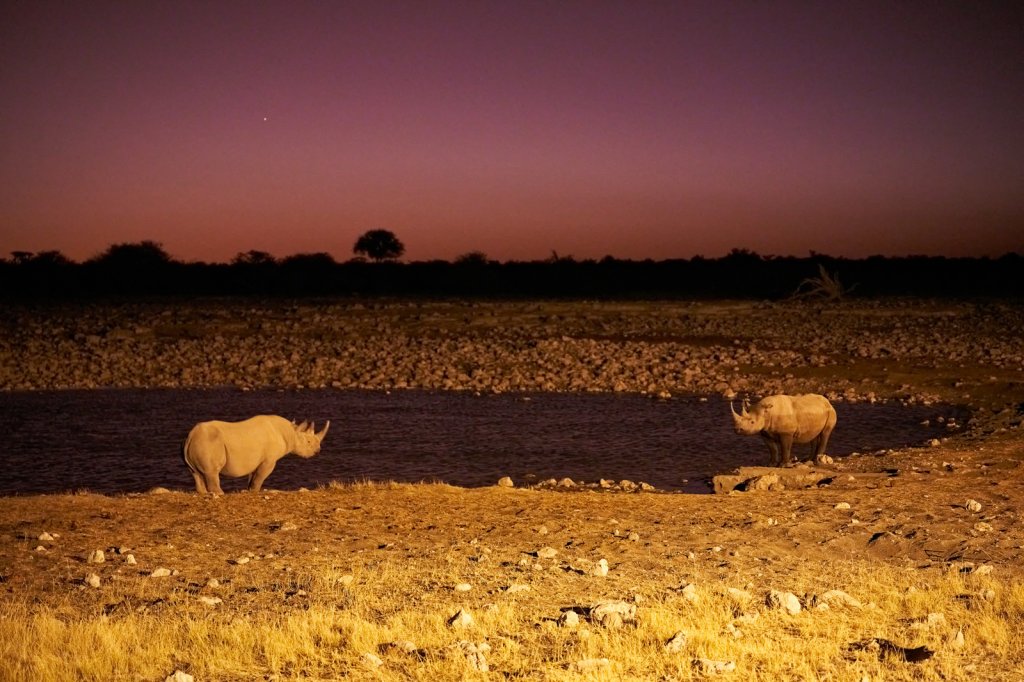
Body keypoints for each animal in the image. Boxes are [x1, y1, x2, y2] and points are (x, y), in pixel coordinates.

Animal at [182, 411, 329, 491]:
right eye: (308, 442)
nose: (318, 451)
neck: (290, 432)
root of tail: (191, 436)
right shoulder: (269, 460)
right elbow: (260, 477)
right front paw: (255, 491)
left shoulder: (255, 460)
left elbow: (252, 477)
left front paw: (249, 490)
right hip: (209, 442)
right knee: (211, 472)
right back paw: (220, 494)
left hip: (198, 444)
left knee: (196, 473)